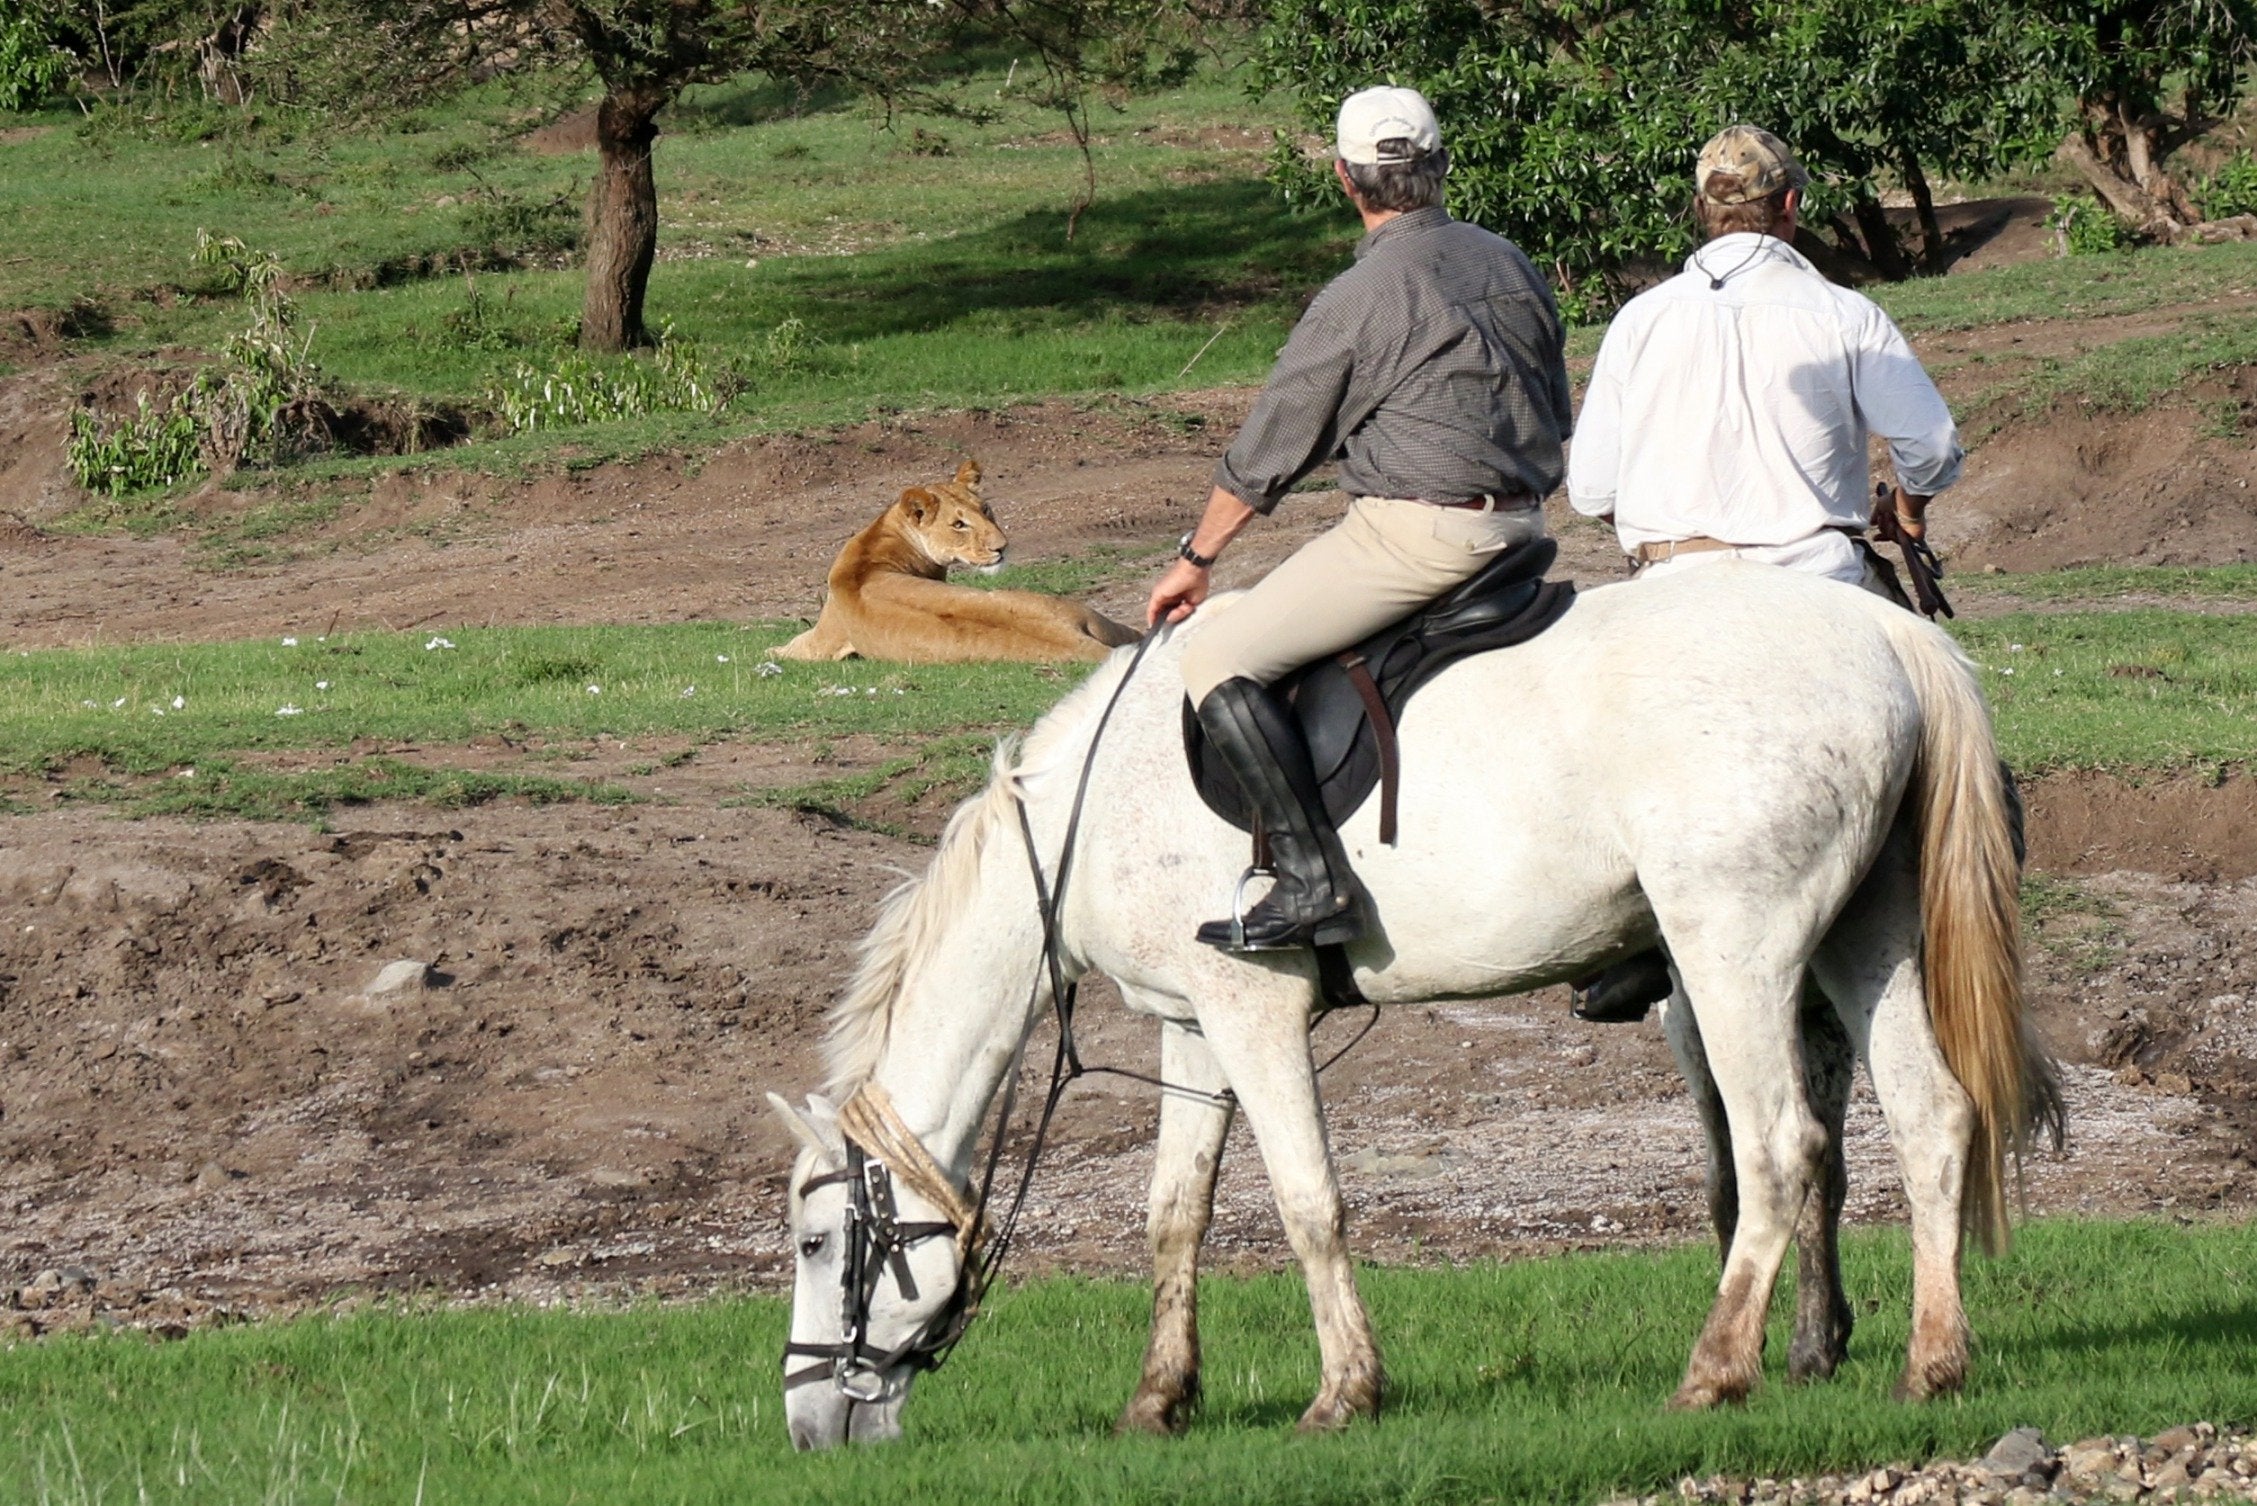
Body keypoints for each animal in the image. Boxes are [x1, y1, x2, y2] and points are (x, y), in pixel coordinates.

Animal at [767, 562, 2058, 1445]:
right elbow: (1173, 1215)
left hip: (1730, 954)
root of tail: (1883, 629)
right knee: (1930, 1119)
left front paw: (1345, 1391)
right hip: (1860, 938)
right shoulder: (1192, 1027)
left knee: (1782, 1150)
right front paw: (1158, 1399)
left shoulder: (1251, 1012)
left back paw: (1717, 1368)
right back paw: (1932, 1363)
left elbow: (1306, 1203)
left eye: (818, 1242)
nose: (807, 1423)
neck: (1088, 809)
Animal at [771, 460, 1146, 663]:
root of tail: (1069, 636)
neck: (880, 538)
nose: (1002, 548)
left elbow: (784, 650)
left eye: (986, 509)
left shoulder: (822, 642)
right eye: (958, 524)